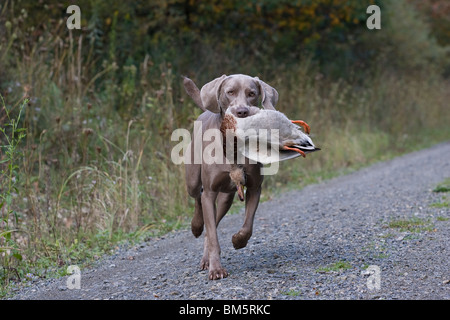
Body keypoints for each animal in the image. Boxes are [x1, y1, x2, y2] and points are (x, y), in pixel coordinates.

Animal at [183, 74, 278, 278]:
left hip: (227, 196)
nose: (241, 111)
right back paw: (196, 226)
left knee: (212, 224)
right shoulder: (210, 192)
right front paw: (217, 269)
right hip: (192, 180)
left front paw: (238, 241)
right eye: (230, 92)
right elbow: (213, 234)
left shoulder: (254, 187)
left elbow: (247, 225)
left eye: (252, 93)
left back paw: (206, 258)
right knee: (198, 199)